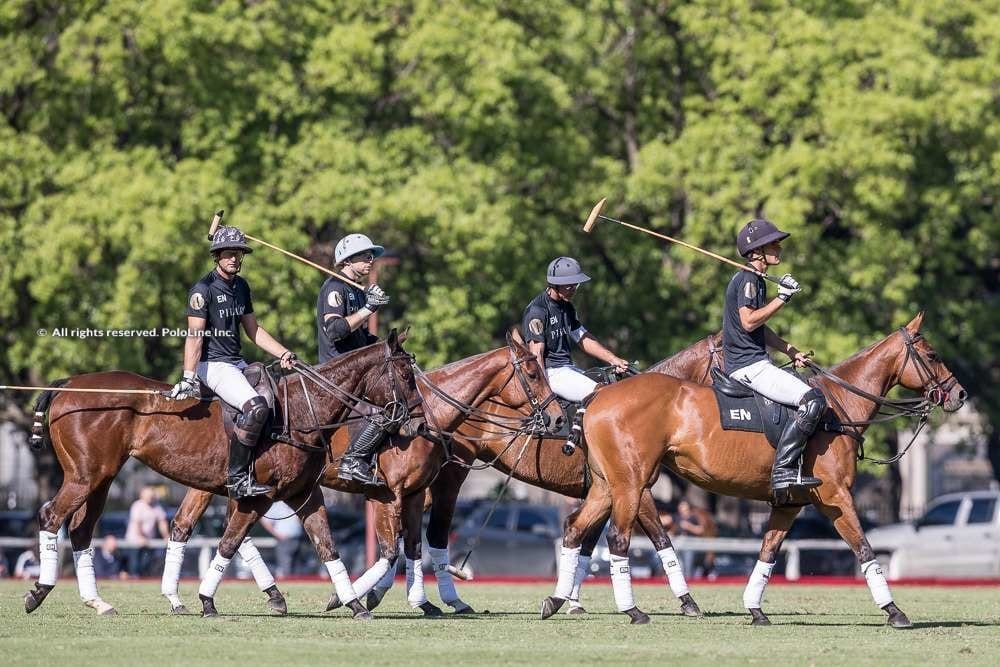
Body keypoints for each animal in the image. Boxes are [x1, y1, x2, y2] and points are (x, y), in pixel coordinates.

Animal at [22, 332, 422, 620]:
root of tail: (67, 384)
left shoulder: (305, 494)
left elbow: (328, 547)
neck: (303, 412)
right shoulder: (258, 495)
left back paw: (98, 602)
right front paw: (207, 600)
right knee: (51, 515)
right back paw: (38, 592)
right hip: (85, 475)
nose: (417, 422)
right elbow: (229, 543)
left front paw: (353, 604)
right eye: (405, 375)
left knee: (81, 529)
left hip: (102, 478)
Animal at [159, 332, 560, 616]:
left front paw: (420, 601)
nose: (557, 418)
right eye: (532, 372)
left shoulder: (416, 493)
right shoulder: (389, 493)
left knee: (197, 526)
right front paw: (349, 597)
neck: (433, 418)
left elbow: (411, 547)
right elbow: (390, 550)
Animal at [544, 314, 964, 628]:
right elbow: (864, 547)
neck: (838, 408)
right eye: (931, 353)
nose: (959, 395)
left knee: (576, 528)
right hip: (631, 483)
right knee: (616, 538)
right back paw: (632, 610)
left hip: (607, 484)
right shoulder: (835, 496)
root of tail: (597, 395)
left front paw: (755, 609)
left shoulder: (790, 502)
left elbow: (768, 551)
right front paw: (895, 611)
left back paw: (556, 600)